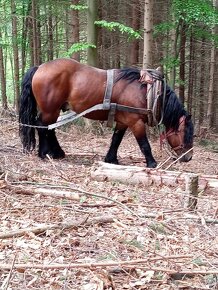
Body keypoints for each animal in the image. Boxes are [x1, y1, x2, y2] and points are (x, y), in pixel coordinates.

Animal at [18, 57, 192, 168]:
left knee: (50, 129)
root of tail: (39, 68)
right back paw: (44, 153)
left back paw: (58, 152)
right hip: (50, 110)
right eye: (185, 133)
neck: (147, 92)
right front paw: (152, 163)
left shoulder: (123, 121)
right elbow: (144, 144)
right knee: (42, 127)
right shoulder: (135, 122)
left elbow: (116, 140)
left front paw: (111, 159)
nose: (189, 157)